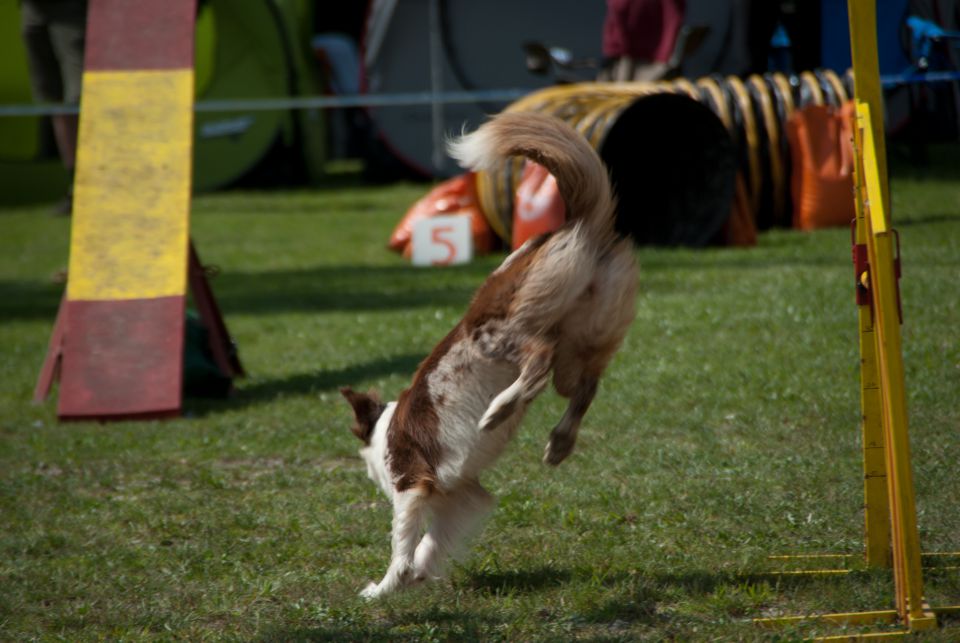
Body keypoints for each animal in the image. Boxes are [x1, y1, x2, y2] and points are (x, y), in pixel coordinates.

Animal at [340, 110, 636, 600]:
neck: (386, 427)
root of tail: (574, 225)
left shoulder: (411, 483)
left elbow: (403, 542)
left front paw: (385, 587)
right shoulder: (462, 496)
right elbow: (431, 543)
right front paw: (418, 575)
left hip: (501, 334)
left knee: (537, 361)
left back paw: (499, 410)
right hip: (584, 341)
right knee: (586, 385)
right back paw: (558, 442)